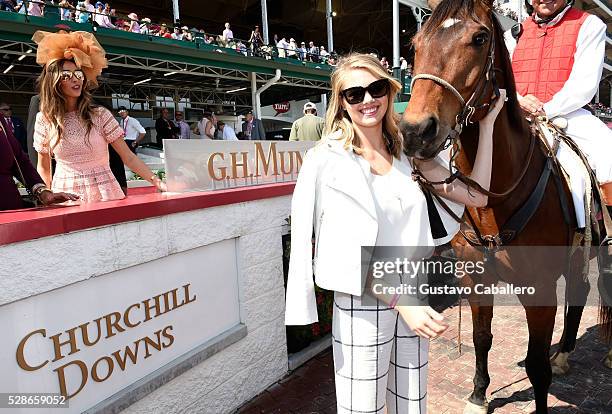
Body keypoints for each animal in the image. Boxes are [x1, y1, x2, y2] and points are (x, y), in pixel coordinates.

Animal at [400, 0, 608, 414]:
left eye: (480, 38)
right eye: (415, 42)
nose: (416, 131)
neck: (493, 201)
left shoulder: (540, 290)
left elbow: (536, 365)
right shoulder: (475, 279)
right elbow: (482, 337)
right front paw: (479, 395)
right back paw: (565, 354)